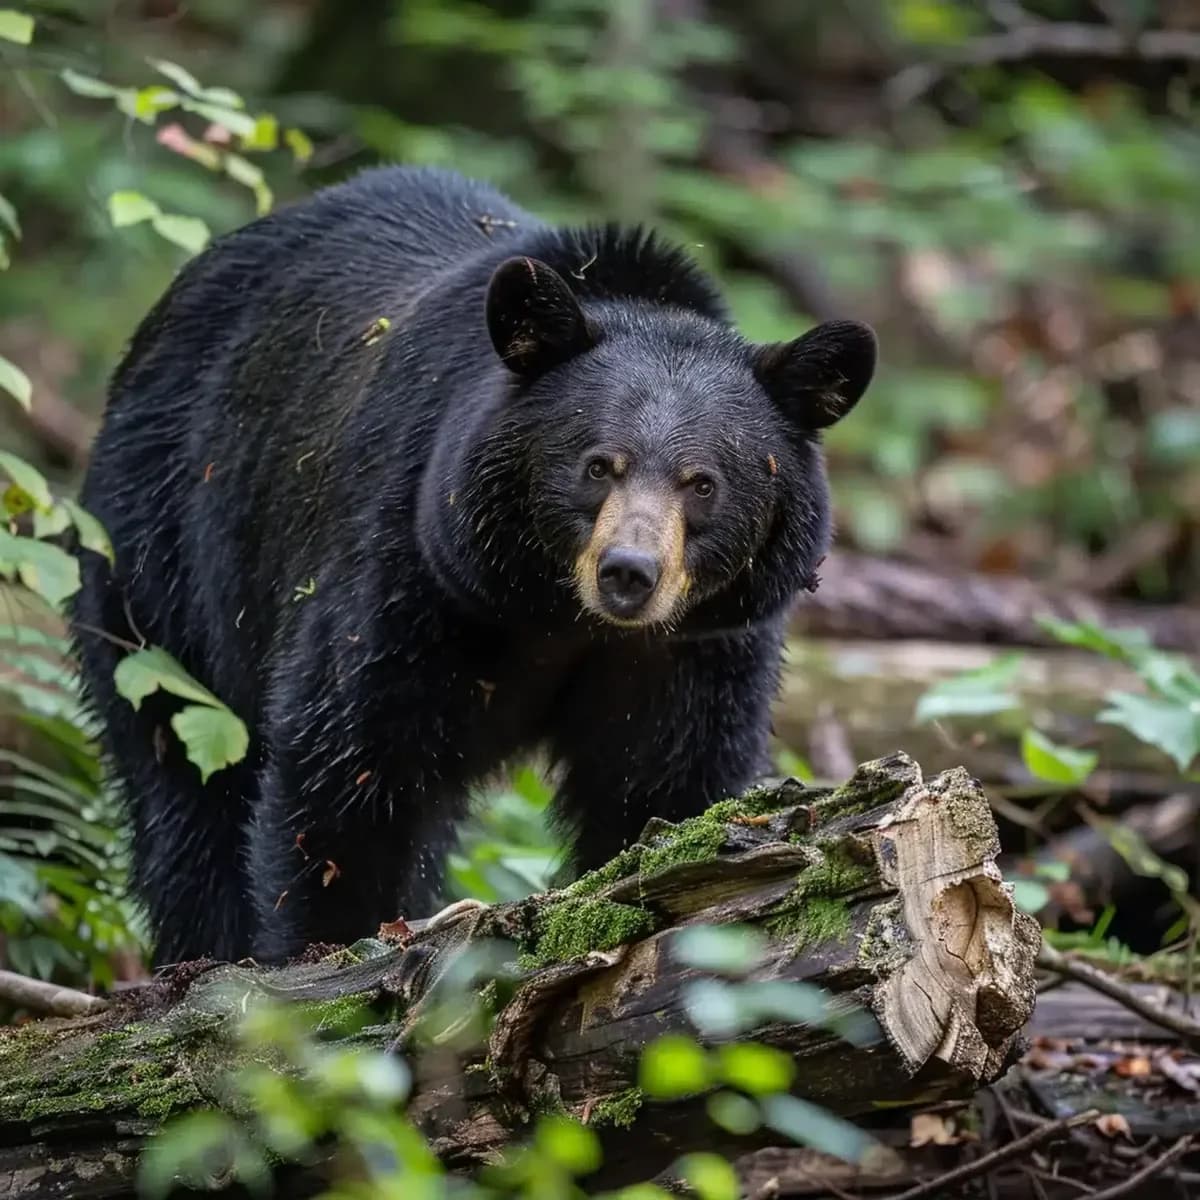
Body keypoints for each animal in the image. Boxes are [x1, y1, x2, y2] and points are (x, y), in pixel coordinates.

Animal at [71, 165, 876, 966]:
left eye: (702, 483)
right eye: (597, 465)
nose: (628, 572)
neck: (555, 613)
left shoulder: (695, 647)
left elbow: (667, 783)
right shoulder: (417, 577)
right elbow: (351, 768)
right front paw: (330, 948)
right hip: (158, 539)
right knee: (177, 769)